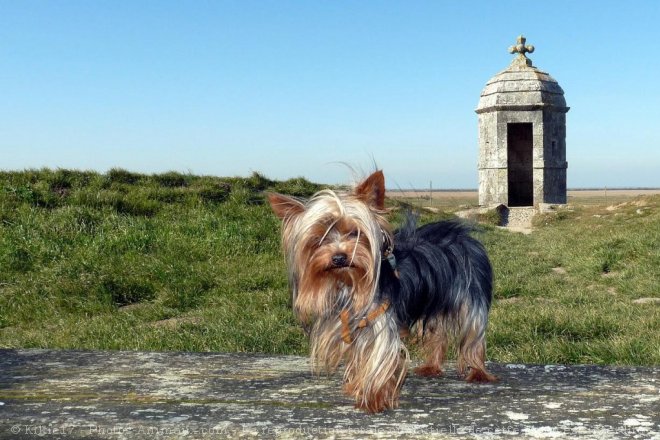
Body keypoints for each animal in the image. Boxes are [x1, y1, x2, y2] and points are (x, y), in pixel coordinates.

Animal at [268, 171, 496, 412]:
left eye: (355, 233)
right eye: (319, 239)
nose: (339, 257)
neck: (349, 284)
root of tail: (459, 233)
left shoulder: (381, 323)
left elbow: (378, 360)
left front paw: (372, 400)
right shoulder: (352, 326)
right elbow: (359, 359)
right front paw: (356, 387)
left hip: (471, 297)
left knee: (474, 335)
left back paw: (478, 372)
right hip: (434, 300)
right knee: (438, 333)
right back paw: (431, 367)